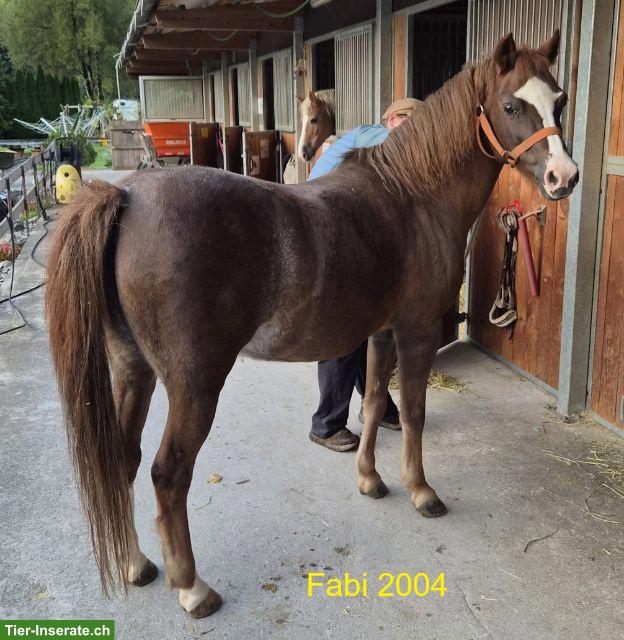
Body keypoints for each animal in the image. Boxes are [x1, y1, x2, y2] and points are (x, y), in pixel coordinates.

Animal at [46, 32, 578, 619]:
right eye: (511, 106)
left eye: (559, 101)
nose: (564, 177)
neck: (413, 196)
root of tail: (127, 196)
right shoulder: (416, 331)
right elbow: (413, 412)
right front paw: (421, 491)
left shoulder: (381, 333)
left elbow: (374, 403)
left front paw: (371, 480)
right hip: (194, 383)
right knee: (168, 472)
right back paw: (192, 588)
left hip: (132, 369)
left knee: (124, 459)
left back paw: (136, 564)